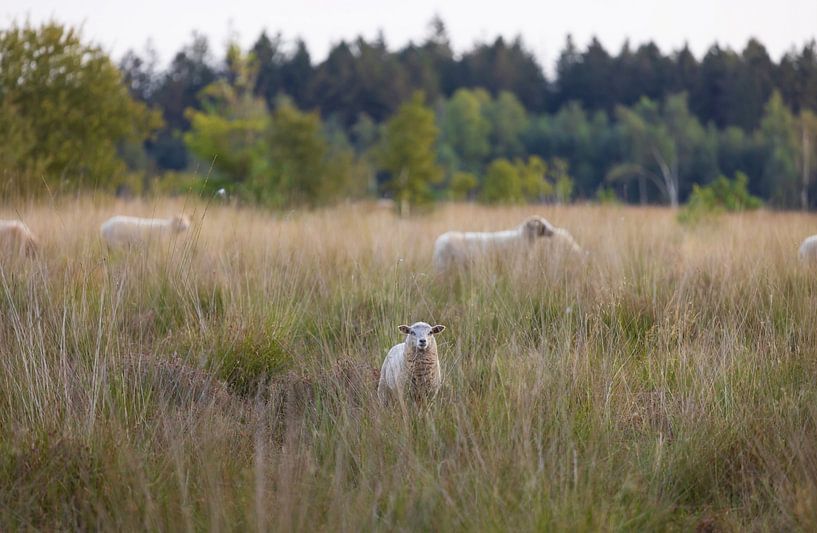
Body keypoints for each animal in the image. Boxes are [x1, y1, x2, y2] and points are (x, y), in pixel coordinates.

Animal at [432, 215, 584, 272]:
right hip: (443, 264)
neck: (523, 238)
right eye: (542, 225)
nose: (553, 232)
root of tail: (439, 241)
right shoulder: (516, 262)